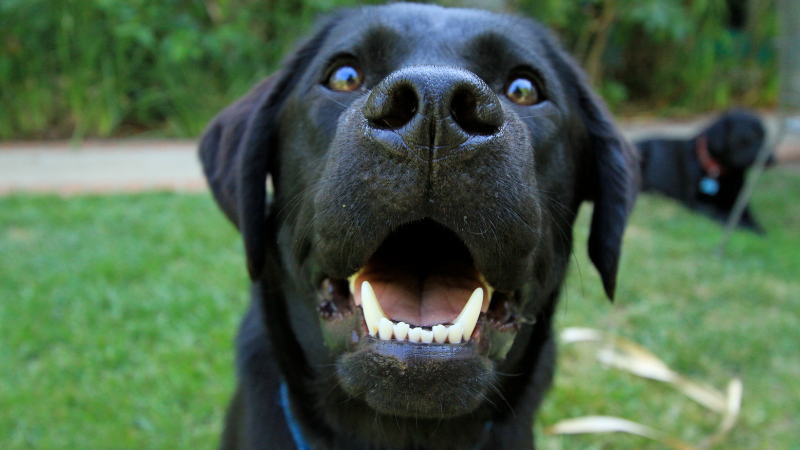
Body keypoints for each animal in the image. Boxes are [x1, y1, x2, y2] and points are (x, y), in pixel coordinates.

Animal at [636, 110, 768, 234]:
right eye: (749, 136)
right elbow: (722, 215)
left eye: (765, 136)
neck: (723, 171)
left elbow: (746, 215)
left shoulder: (738, 197)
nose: (770, 158)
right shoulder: (698, 201)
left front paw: (757, 227)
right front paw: (747, 227)